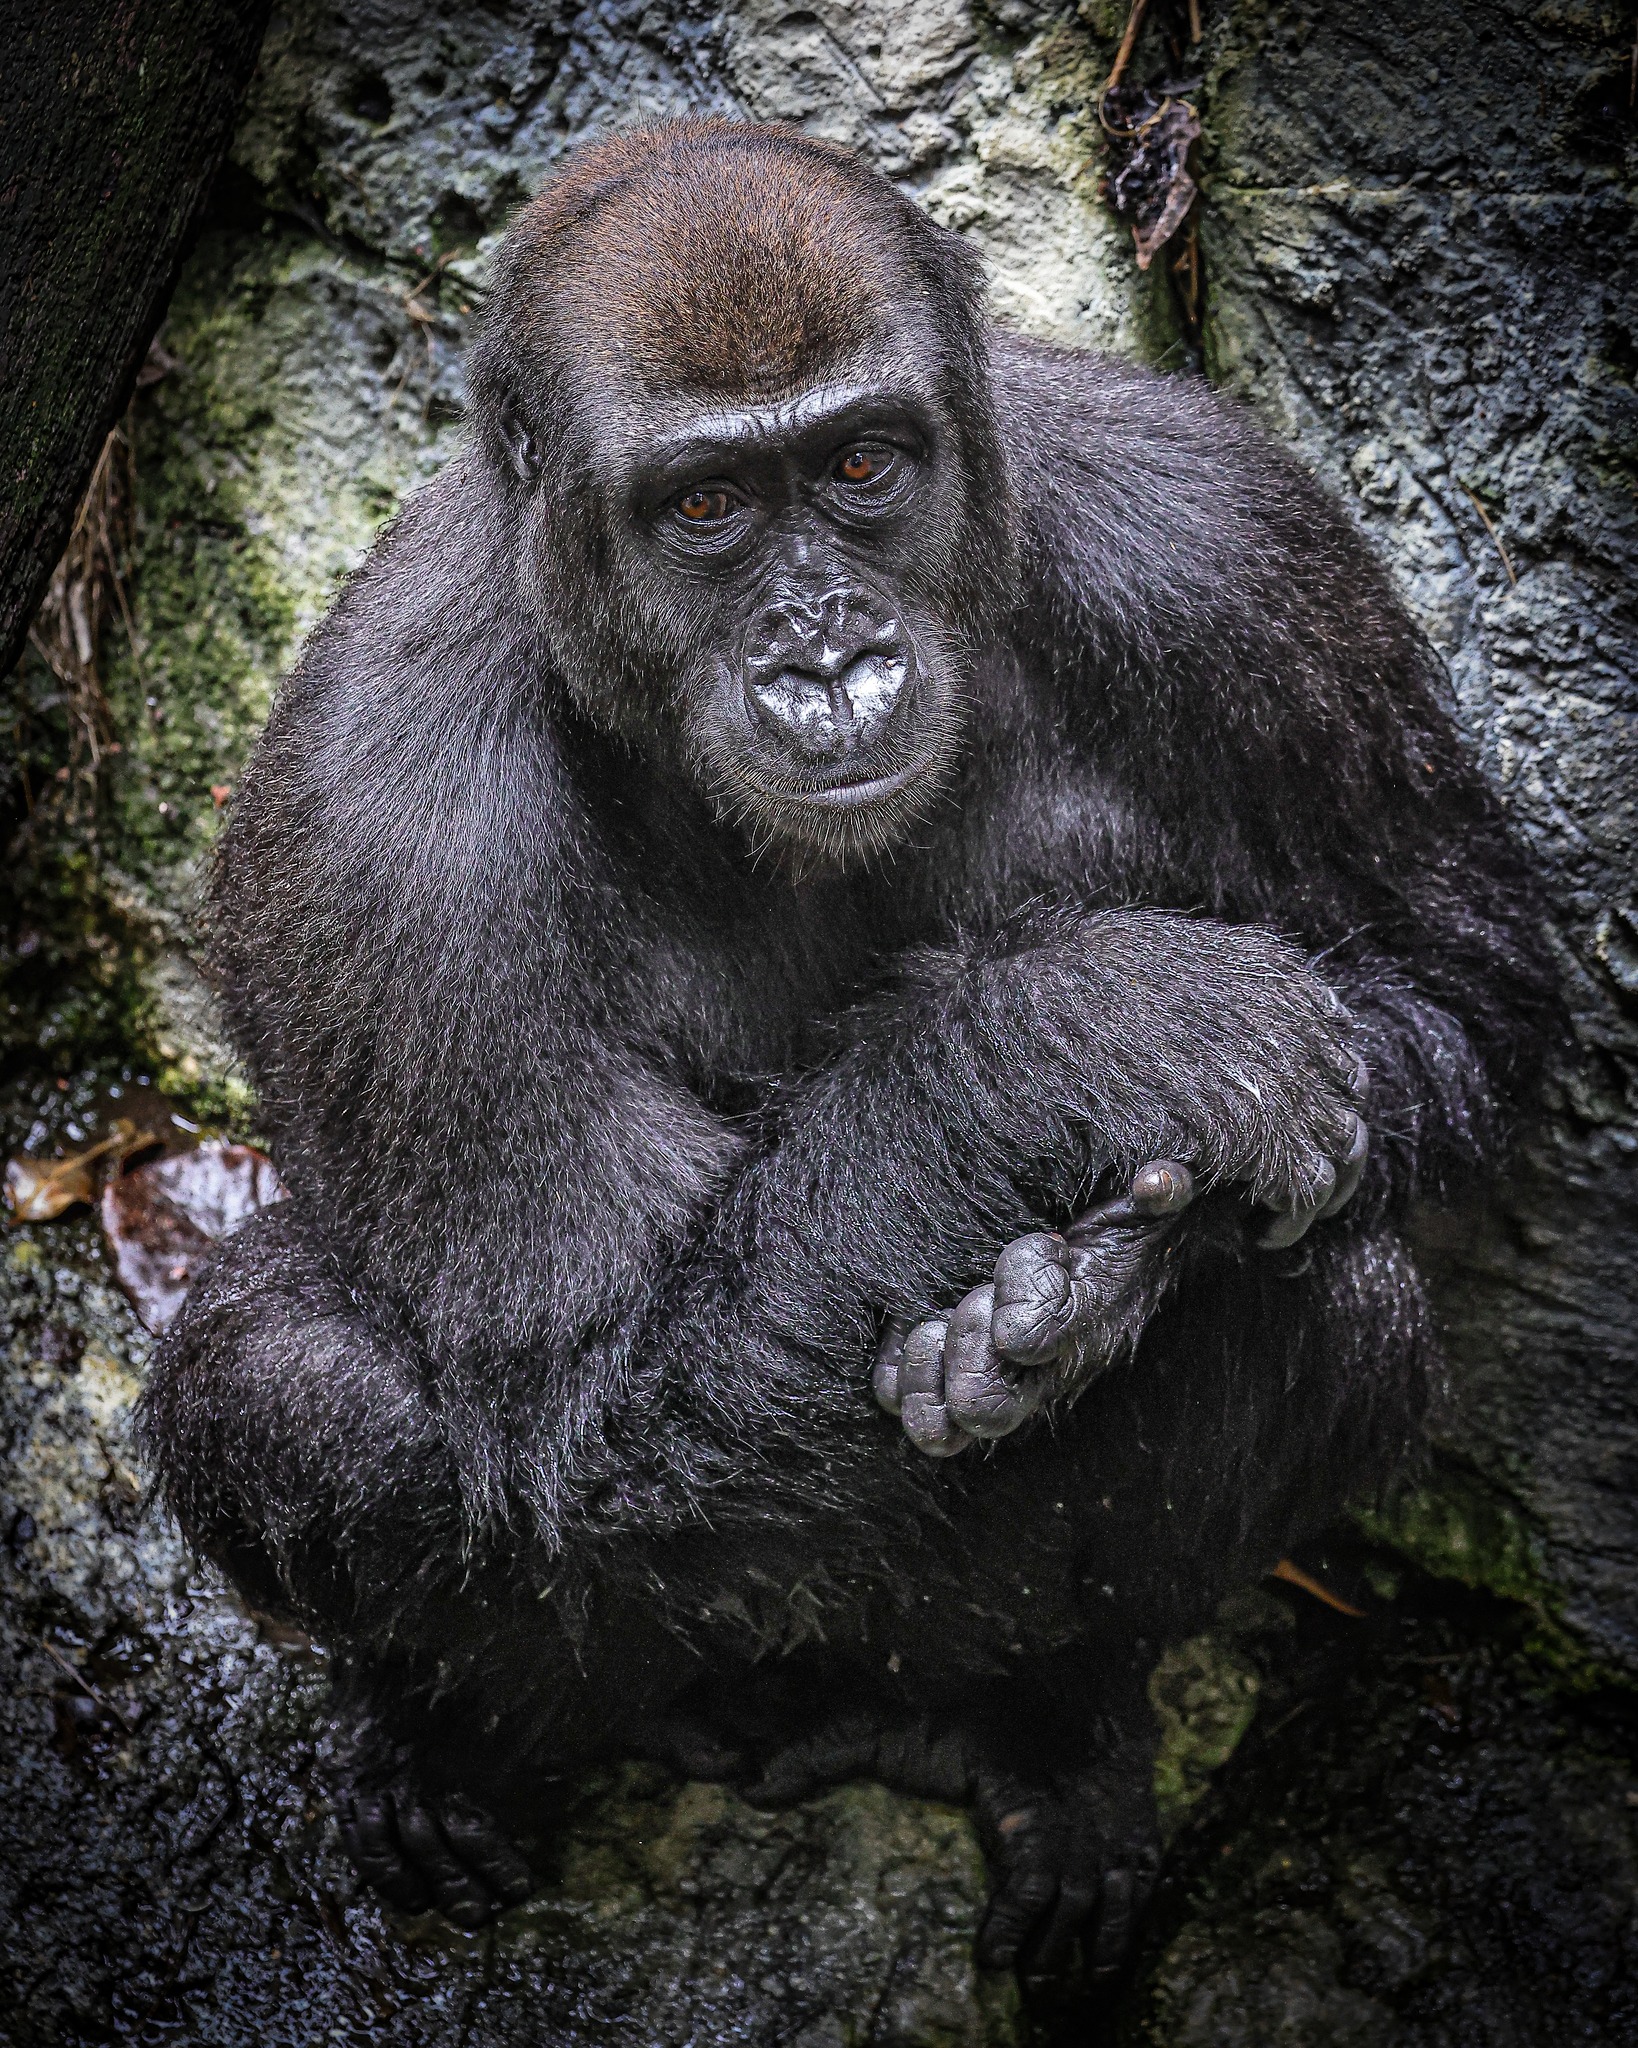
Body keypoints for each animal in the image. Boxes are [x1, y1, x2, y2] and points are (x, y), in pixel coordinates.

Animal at [138, 119, 1558, 1986]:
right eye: (706, 507)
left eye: (865, 463)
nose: (828, 655)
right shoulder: (382, 803)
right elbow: (576, 1400)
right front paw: (1094, 1035)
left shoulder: (1223, 542)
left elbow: (1458, 995)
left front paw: (1088, 1285)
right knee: (288, 1385)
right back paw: (462, 1739)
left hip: (908, 1655)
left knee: (1329, 1295)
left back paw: (1051, 1716)